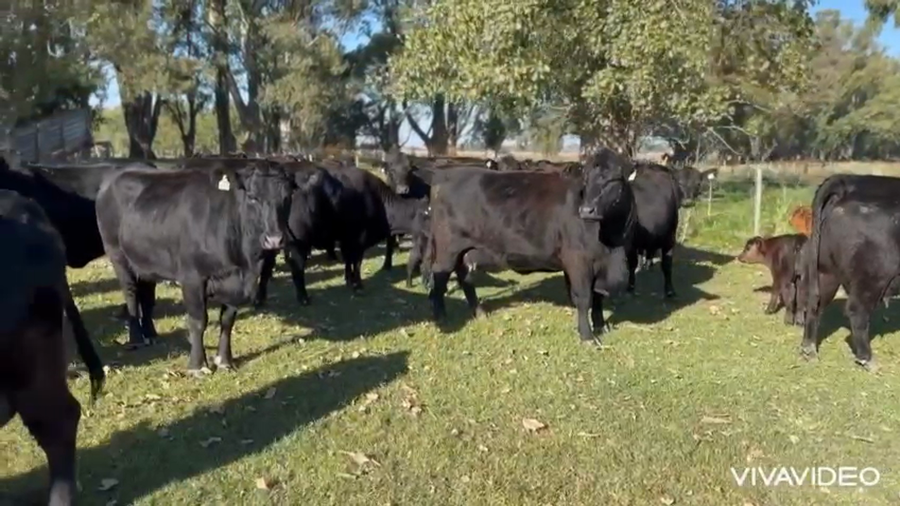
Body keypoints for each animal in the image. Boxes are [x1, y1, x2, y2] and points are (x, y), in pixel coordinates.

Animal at [95, 161, 295, 374]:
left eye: (287, 197)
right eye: (252, 197)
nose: (274, 239)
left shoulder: (234, 282)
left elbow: (227, 320)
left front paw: (225, 360)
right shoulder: (192, 277)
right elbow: (199, 321)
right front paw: (197, 366)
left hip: (146, 262)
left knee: (146, 297)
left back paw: (151, 334)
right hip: (118, 255)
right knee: (131, 294)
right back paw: (136, 339)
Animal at [422, 148, 636, 343]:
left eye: (612, 179)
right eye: (586, 180)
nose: (586, 210)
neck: (612, 243)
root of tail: (446, 174)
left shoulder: (603, 263)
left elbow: (598, 297)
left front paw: (600, 325)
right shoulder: (577, 261)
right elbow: (584, 298)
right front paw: (587, 336)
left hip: (465, 251)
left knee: (465, 278)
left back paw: (480, 313)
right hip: (447, 251)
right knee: (440, 281)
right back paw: (442, 318)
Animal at [799, 174, 900, 370]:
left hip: (825, 271)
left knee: (815, 303)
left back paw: (809, 350)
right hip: (873, 276)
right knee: (856, 310)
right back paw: (868, 360)